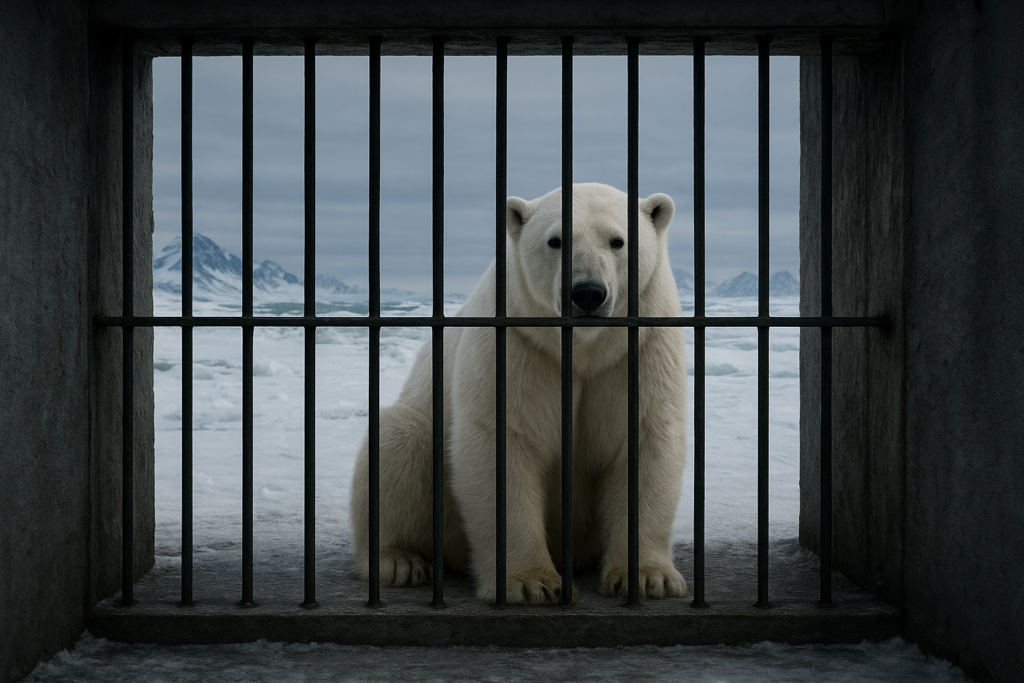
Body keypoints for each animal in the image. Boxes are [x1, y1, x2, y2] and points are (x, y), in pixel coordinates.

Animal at [351, 182, 688, 604]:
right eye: (555, 240)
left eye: (618, 240)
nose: (587, 293)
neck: (585, 346)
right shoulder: (517, 344)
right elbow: (503, 442)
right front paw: (532, 583)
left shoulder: (639, 348)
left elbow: (645, 441)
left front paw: (648, 578)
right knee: (399, 438)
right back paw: (401, 561)